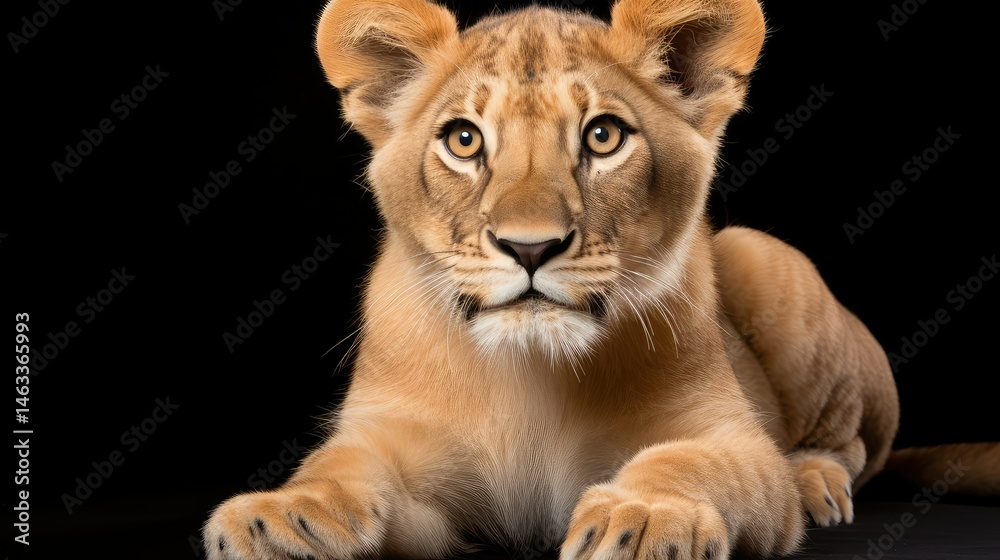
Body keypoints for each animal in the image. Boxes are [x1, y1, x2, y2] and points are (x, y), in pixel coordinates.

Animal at [202, 1, 997, 558]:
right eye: (464, 139)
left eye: (603, 136)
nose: (529, 248)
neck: (530, 376)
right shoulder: (401, 451)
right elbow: (338, 468)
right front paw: (275, 514)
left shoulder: (729, 436)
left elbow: (690, 464)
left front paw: (643, 514)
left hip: (767, 259)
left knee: (853, 446)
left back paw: (816, 481)